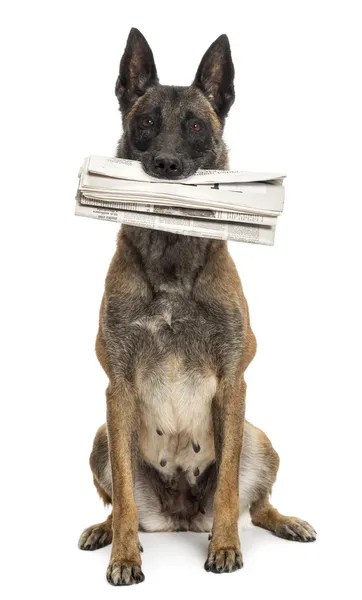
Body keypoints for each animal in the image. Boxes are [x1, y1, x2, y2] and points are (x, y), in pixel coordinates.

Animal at [78, 29, 316, 584]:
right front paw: (123, 556)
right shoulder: (116, 386)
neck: (172, 257)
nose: (166, 166)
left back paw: (285, 522)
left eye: (194, 126)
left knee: (258, 504)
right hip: (101, 436)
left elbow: (228, 486)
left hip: (258, 436)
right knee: (117, 503)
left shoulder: (233, 382)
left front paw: (226, 547)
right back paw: (104, 532)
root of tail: (182, 516)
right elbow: (123, 496)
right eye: (146, 122)